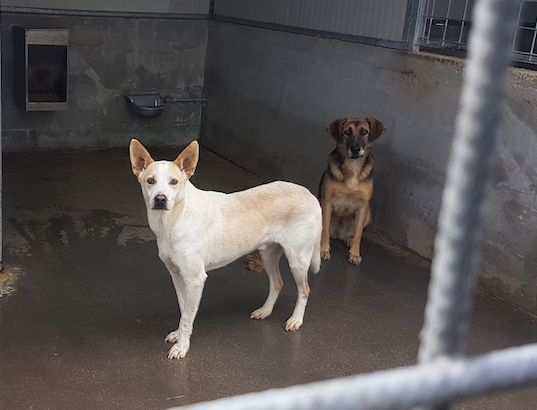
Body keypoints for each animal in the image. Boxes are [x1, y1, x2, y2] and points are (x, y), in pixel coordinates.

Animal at [129, 139, 322, 358]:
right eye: (150, 181)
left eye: (174, 182)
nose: (160, 199)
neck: (173, 219)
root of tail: (309, 194)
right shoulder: (177, 275)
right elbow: (184, 308)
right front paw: (179, 335)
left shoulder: (195, 279)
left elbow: (187, 316)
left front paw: (182, 346)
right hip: (267, 254)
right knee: (277, 283)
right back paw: (265, 311)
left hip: (297, 260)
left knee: (304, 290)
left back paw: (296, 320)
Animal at [316, 117, 384, 264]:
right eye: (347, 132)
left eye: (364, 132)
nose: (355, 149)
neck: (353, 166)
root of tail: (338, 234)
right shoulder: (327, 202)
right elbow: (324, 230)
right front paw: (323, 250)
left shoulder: (363, 206)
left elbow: (358, 233)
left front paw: (355, 253)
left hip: (368, 214)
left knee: (353, 233)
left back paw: (348, 239)